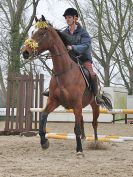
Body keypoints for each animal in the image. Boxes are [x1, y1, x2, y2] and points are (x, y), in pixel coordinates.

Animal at [22, 16, 111, 155]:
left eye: (41, 33)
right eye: (32, 32)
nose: (25, 52)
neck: (64, 71)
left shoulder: (76, 103)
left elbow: (76, 128)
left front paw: (79, 150)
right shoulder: (54, 101)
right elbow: (43, 117)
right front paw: (44, 142)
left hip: (94, 105)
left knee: (94, 123)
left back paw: (96, 143)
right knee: (82, 120)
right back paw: (83, 138)